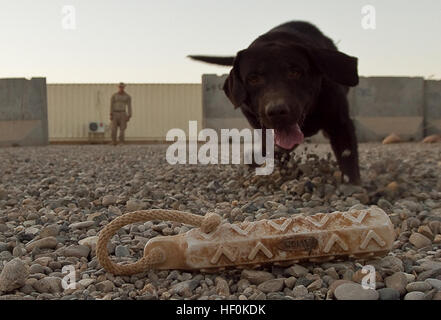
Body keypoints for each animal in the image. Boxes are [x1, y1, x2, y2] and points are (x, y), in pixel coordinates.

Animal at [190, 20, 360, 184]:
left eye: (295, 72)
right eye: (253, 78)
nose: (277, 111)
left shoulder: (340, 123)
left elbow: (348, 157)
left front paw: (352, 184)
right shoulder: (255, 118)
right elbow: (271, 142)